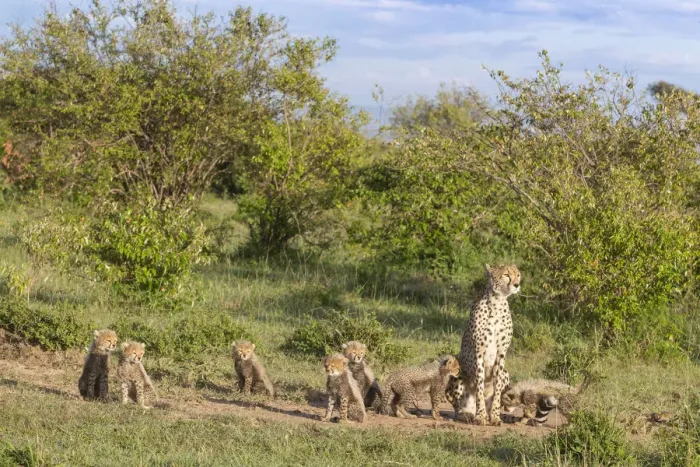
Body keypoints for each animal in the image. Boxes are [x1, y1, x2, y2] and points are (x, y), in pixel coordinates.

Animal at [447, 263, 522, 426]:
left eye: (518, 275)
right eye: (506, 275)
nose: (517, 285)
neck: (497, 302)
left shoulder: (501, 353)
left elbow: (497, 389)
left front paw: (495, 416)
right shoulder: (479, 352)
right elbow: (480, 388)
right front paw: (480, 416)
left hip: (506, 372)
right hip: (457, 374)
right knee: (457, 407)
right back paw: (468, 415)